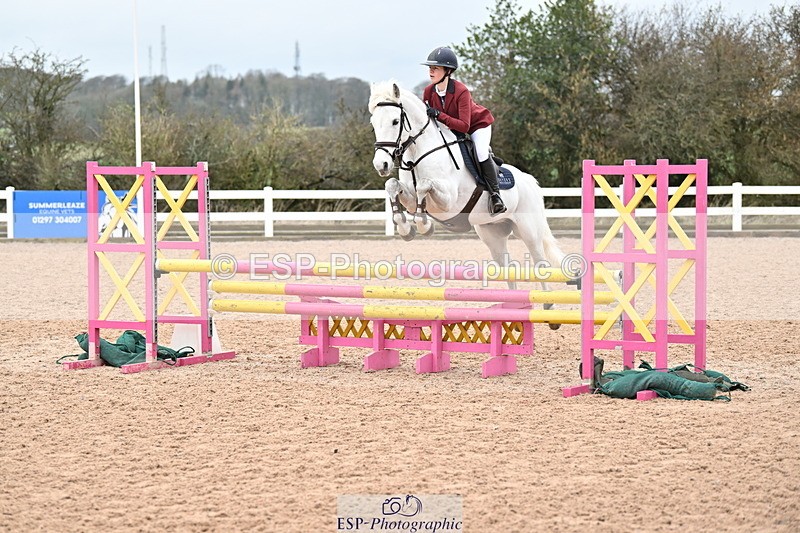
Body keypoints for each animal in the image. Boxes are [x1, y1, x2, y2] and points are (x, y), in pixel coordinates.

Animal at [368, 81, 566, 310]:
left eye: (395, 121)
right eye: (373, 124)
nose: (381, 165)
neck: (419, 154)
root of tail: (530, 181)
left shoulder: (448, 201)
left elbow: (424, 187)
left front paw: (424, 225)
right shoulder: (408, 196)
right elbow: (392, 186)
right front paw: (405, 228)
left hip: (529, 230)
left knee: (539, 260)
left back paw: (548, 305)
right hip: (492, 234)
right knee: (507, 266)